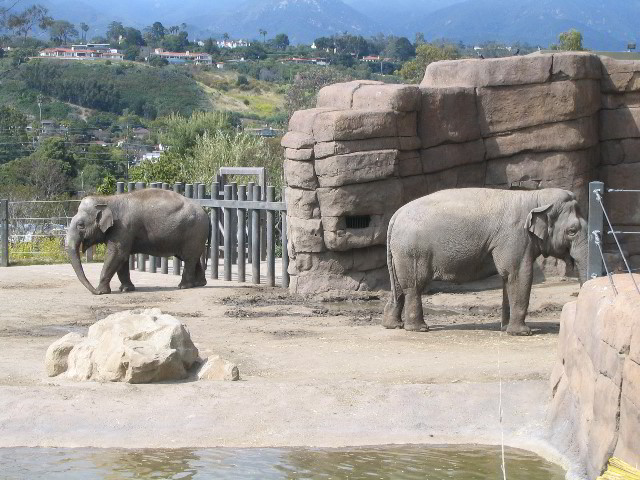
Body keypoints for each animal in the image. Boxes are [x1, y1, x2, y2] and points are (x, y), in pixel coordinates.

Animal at [382, 186, 588, 336]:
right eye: (572, 231)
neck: (534, 197)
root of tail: (396, 215)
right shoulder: (514, 236)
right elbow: (518, 274)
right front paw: (522, 333)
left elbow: (508, 277)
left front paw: (505, 329)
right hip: (413, 251)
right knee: (414, 286)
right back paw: (419, 329)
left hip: (399, 252)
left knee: (398, 286)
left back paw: (393, 325)